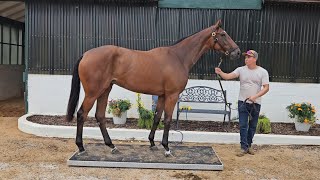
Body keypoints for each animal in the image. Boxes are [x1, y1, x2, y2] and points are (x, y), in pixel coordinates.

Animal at [65, 19, 240, 156]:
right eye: (223, 34)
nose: (237, 52)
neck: (178, 57)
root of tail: (86, 54)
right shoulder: (172, 95)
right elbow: (167, 119)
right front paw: (167, 148)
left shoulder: (162, 95)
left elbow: (157, 117)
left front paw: (152, 143)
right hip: (93, 92)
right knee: (81, 114)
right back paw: (81, 147)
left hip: (105, 90)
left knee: (100, 116)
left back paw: (112, 146)